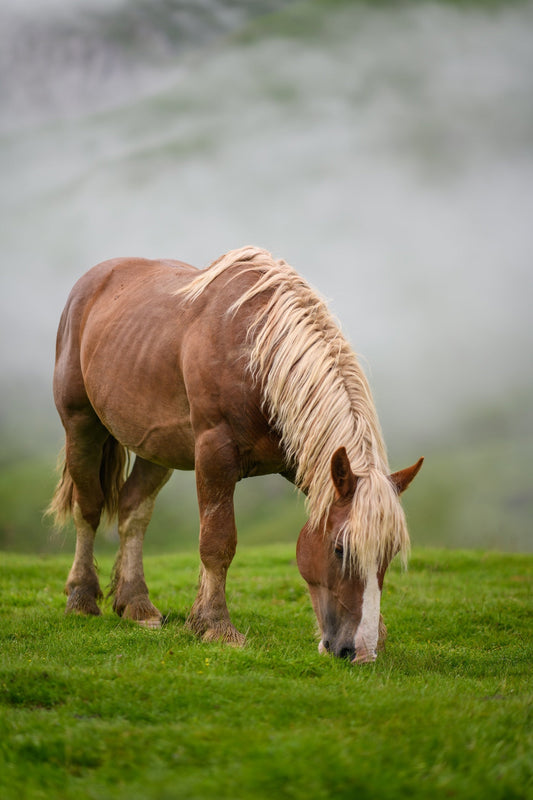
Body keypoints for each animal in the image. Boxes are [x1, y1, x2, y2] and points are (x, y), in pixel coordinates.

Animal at [47, 244, 422, 664]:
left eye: (390, 553)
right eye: (340, 549)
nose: (359, 652)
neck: (258, 353)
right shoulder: (214, 454)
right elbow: (217, 542)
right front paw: (216, 626)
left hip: (156, 449)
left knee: (133, 511)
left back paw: (136, 605)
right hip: (81, 424)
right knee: (89, 507)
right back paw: (81, 599)